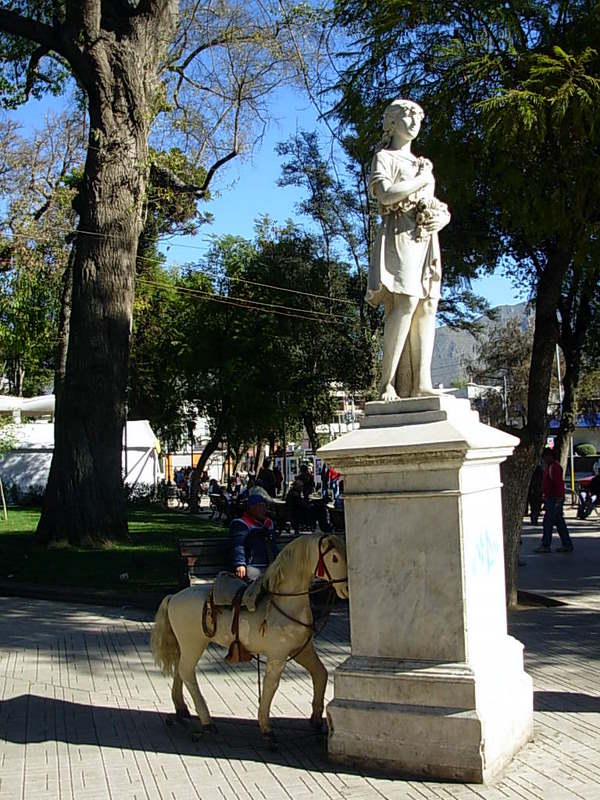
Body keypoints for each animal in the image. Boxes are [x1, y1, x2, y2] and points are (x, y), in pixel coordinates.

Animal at [151, 536, 346, 748]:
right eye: (334, 558)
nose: (346, 587)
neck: (284, 604)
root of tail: (173, 597)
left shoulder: (302, 650)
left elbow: (321, 674)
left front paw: (317, 721)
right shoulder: (278, 655)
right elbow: (271, 685)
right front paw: (266, 729)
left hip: (186, 645)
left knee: (179, 671)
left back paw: (180, 710)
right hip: (193, 644)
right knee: (186, 672)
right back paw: (207, 722)